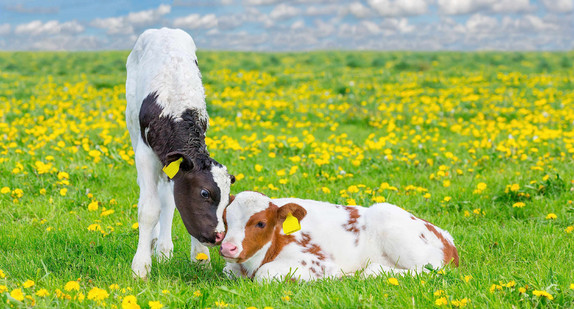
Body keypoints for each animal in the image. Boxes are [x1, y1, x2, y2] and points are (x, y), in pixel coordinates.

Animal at [125, 28, 234, 278]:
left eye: (227, 199)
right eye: (204, 193)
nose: (219, 236)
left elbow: (171, 202)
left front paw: (201, 258)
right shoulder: (145, 154)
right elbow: (148, 209)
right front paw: (141, 266)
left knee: (166, 198)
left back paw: (164, 250)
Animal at [220, 191, 460, 280]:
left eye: (261, 223)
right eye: (225, 219)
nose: (228, 248)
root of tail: (447, 238)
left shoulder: (318, 261)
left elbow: (265, 274)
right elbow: (228, 270)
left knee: (431, 270)